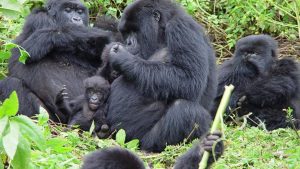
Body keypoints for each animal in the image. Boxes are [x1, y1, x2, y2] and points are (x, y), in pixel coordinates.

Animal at [104, 0, 217, 152]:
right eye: (126, 33)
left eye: (134, 31)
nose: (128, 43)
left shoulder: (181, 27)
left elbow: (190, 79)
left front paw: (122, 58)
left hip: (139, 140)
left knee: (185, 110)